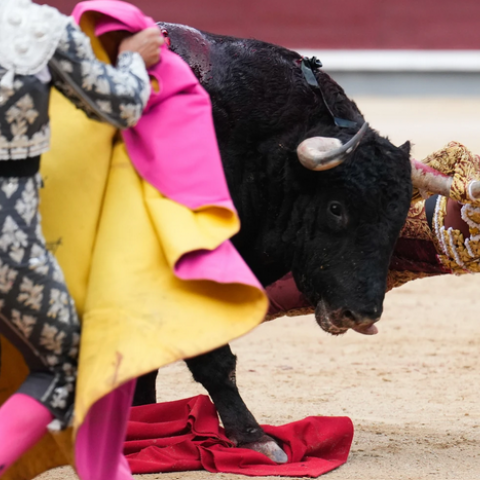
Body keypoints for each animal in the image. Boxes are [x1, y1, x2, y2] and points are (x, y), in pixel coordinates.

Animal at [134, 24, 412, 464]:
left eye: (398, 220)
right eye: (336, 208)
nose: (361, 314)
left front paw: (144, 421)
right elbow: (213, 357)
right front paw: (254, 437)